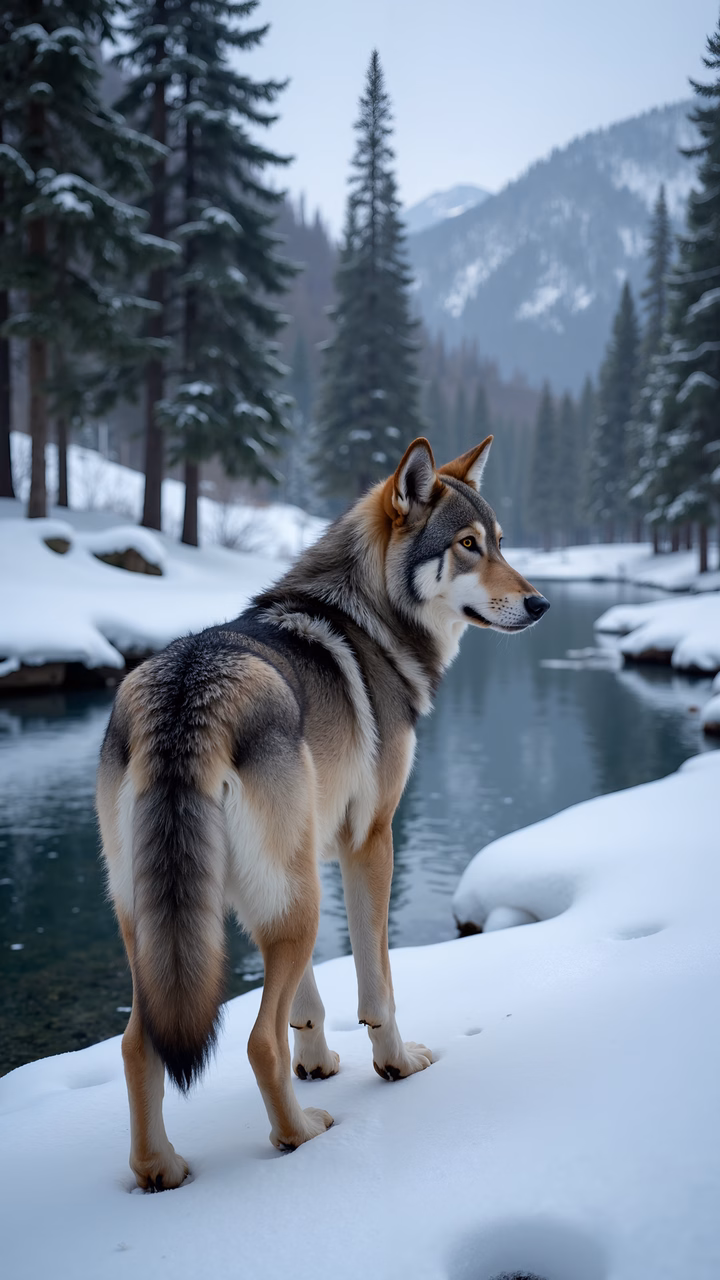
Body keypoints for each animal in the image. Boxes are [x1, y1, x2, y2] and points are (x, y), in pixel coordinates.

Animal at [97, 435, 549, 1190]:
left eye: (502, 544)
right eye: (467, 545)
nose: (540, 603)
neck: (370, 619)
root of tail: (189, 693)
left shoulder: (300, 867)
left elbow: (305, 1005)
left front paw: (317, 1064)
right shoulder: (371, 841)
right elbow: (378, 988)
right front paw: (397, 1065)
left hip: (173, 922)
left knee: (139, 1045)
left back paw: (160, 1169)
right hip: (298, 905)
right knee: (255, 1041)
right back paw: (299, 1135)